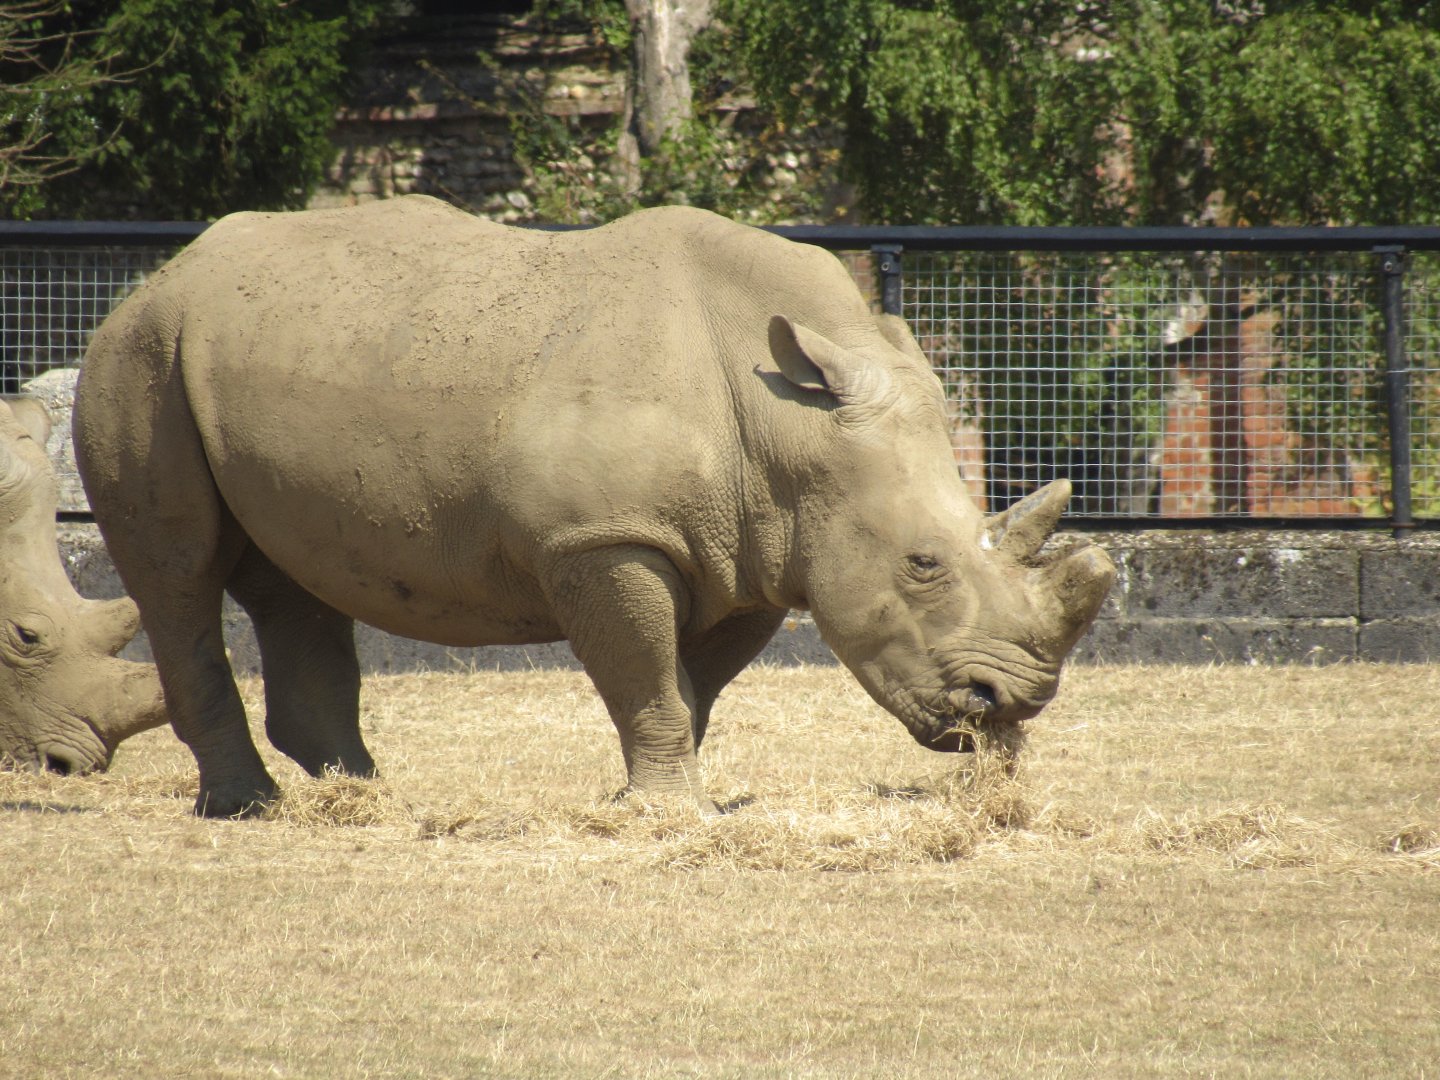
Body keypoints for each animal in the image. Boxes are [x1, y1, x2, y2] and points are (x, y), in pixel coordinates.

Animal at [74, 196, 1114, 818]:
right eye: (924, 564)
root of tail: (156, 275)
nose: (1010, 707)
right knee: (177, 572)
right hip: (140, 354)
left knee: (291, 575)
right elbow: (647, 678)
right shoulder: (605, 540)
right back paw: (248, 807)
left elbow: (692, 688)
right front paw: (669, 812)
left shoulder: (754, 557)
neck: (790, 431)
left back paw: (364, 799)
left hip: (265, 351)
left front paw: (661, 803)